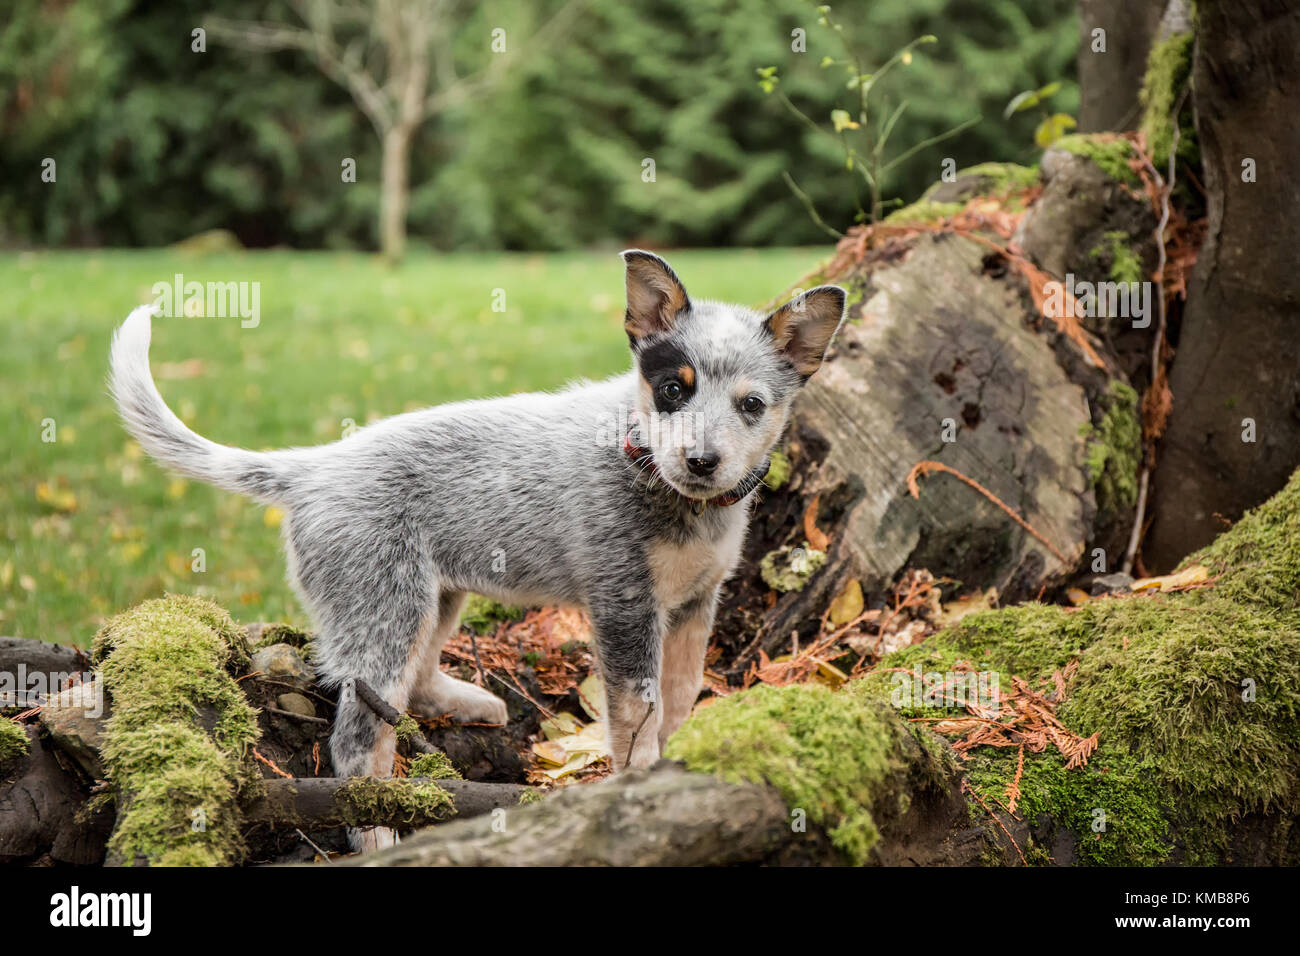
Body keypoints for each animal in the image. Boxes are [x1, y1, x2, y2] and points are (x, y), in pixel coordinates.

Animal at [109, 252, 842, 842]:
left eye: (752, 405)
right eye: (671, 389)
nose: (700, 461)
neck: (658, 478)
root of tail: (314, 468)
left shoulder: (694, 603)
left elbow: (682, 694)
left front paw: (685, 756)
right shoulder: (624, 606)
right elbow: (638, 713)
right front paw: (642, 782)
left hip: (437, 594)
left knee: (420, 681)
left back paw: (471, 705)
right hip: (384, 612)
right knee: (358, 744)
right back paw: (378, 834)